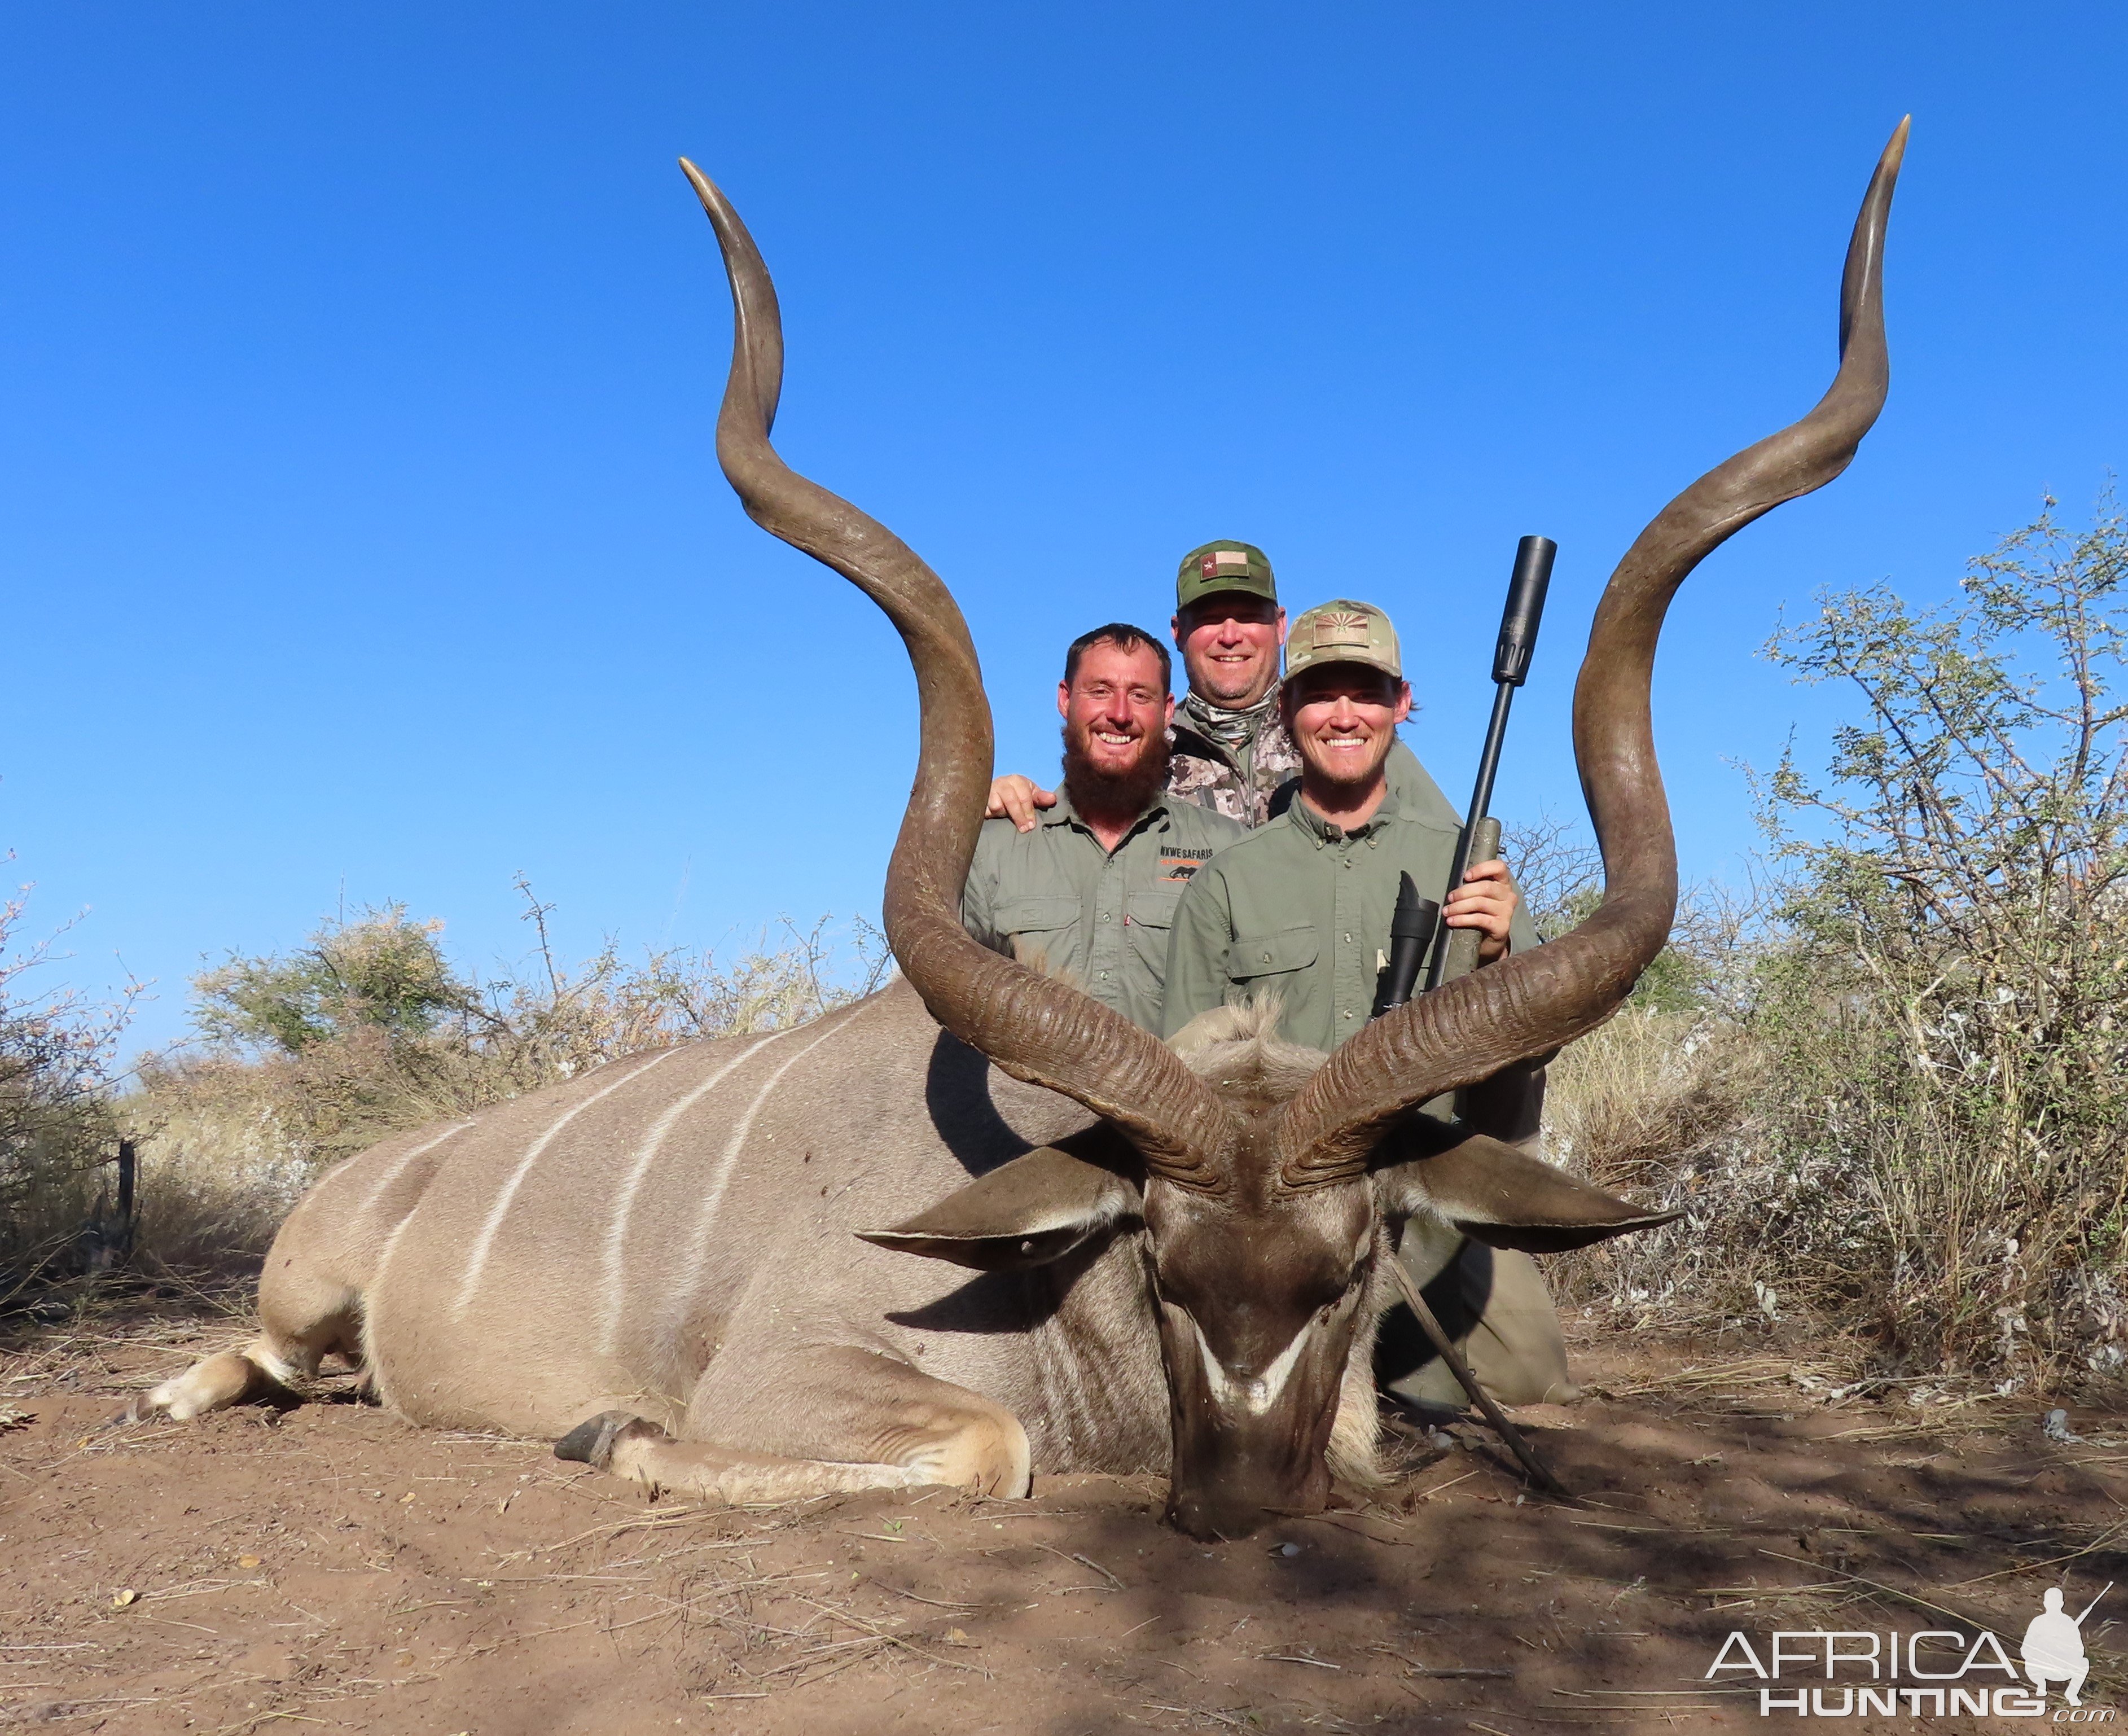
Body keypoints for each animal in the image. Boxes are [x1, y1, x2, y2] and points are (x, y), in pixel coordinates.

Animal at [133, 132, 1906, 1532]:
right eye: (1159, 1259)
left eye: (1351, 1269)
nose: (1236, 1505)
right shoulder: (799, 1363)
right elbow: (985, 1447)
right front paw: (607, 1428)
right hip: (303, 1286)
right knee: (265, 1349)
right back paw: (182, 1396)